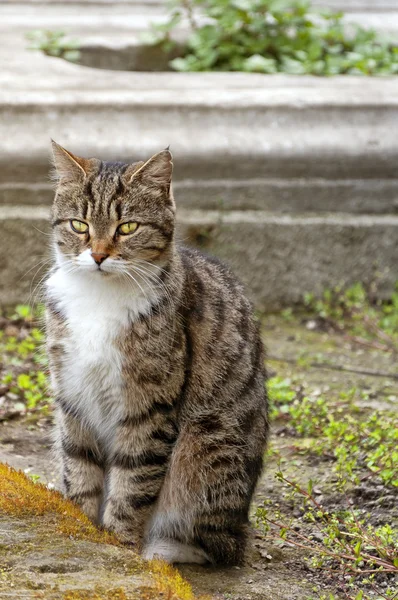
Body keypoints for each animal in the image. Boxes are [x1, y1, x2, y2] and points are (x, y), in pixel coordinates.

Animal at [45, 142, 270, 568]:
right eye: (79, 225)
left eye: (127, 228)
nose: (98, 255)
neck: (100, 297)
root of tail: (242, 523)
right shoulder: (72, 393)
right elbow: (79, 464)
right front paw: (80, 527)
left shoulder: (149, 404)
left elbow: (132, 481)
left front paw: (117, 543)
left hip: (206, 441)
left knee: (217, 545)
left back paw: (160, 548)